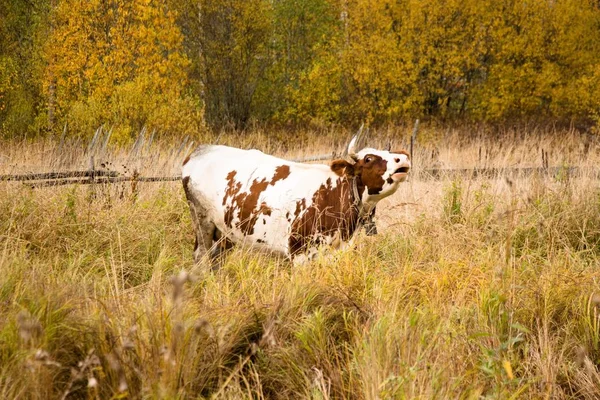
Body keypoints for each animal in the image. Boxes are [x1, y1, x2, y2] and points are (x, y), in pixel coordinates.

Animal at [180, 133, 410, 268]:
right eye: (368, 159)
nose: (403, 158)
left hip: (224, 233)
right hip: (202, 222)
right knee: (201, 257)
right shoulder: (299, 255)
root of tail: (200, 151)